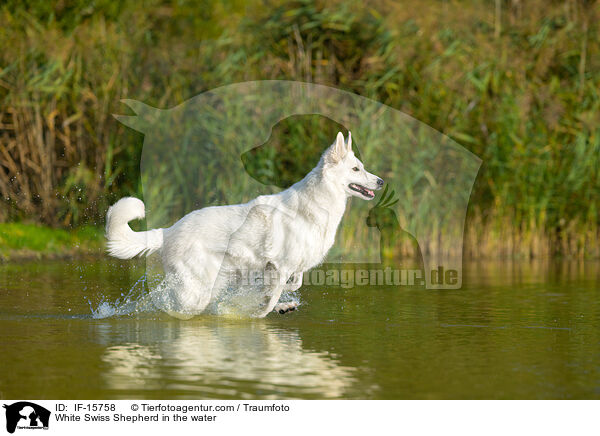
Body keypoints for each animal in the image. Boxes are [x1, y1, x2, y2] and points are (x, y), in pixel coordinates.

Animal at [105, 131, 382, 318]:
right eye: (356, 169)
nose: (380, 182)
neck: (316, 204)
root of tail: (167, 231)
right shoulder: (280, 266)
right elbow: (270, 299)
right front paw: (261, 312)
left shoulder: (286, 268)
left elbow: (290, 285)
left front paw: (275, 301)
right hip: (196, 290)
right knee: (165, 302)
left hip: (217, 281)